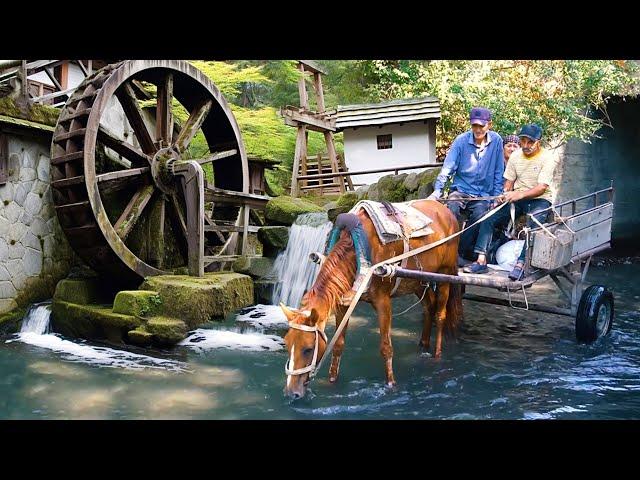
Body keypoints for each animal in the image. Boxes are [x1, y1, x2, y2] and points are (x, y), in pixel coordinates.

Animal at [282, 197, 462, 400]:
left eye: (308, 348)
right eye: (287, 344)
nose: (291, 392)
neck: (359, 251)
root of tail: (447, 212)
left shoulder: (383, 301)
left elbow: (386, 347)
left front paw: (391, 385)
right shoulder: (343, 303)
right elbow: (338, 345)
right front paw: (332, 382)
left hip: (445, 275)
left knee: (440, 314)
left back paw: (437, 356)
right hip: (419, 280)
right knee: (429, 307)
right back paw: (423, 346)